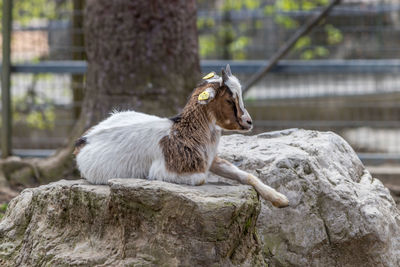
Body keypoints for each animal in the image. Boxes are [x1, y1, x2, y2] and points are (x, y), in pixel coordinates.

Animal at [74, 66, 288, 208]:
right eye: (229, 99)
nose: (249, 122)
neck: (184, 131)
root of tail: (82, 140)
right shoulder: (166, 172)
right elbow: (202, 179)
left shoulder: (211, 159)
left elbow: (246, 175)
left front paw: (281, 199)